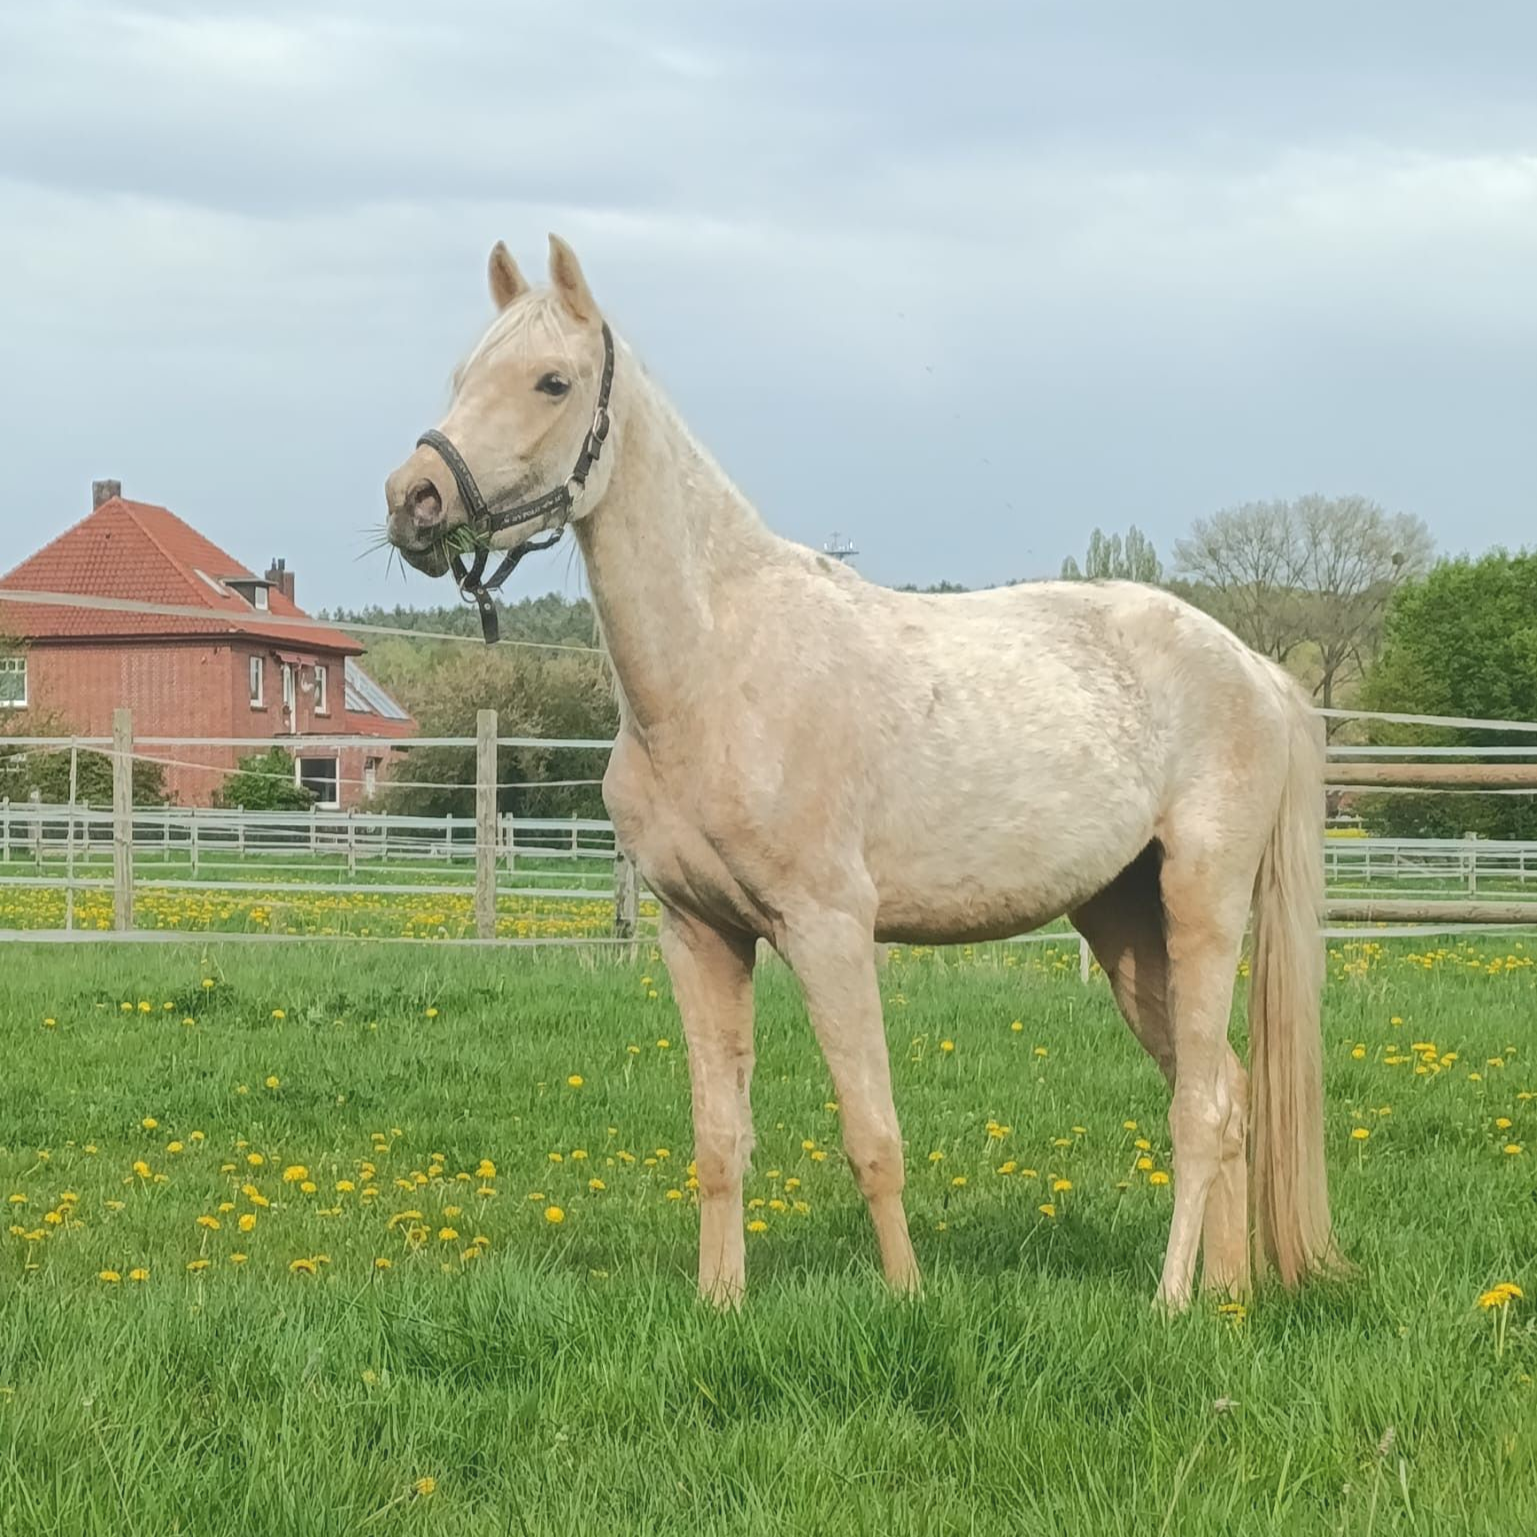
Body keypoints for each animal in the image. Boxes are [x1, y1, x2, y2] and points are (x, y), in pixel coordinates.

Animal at [384, 236, 1340, 1311]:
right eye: (462, 376)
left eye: (552, 380)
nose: (413, 501)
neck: (716, 664)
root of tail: (1251, 668)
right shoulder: (697, 935)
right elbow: (718, 1140)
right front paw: (720, 1302)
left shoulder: (829, 929)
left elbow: (872, 1137)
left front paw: (907, 1298)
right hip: (1126, 922)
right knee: (1225, 1092)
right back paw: (1227, 1298)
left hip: (1200, 901)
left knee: (1199, 1110)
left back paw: (1172, 1301)